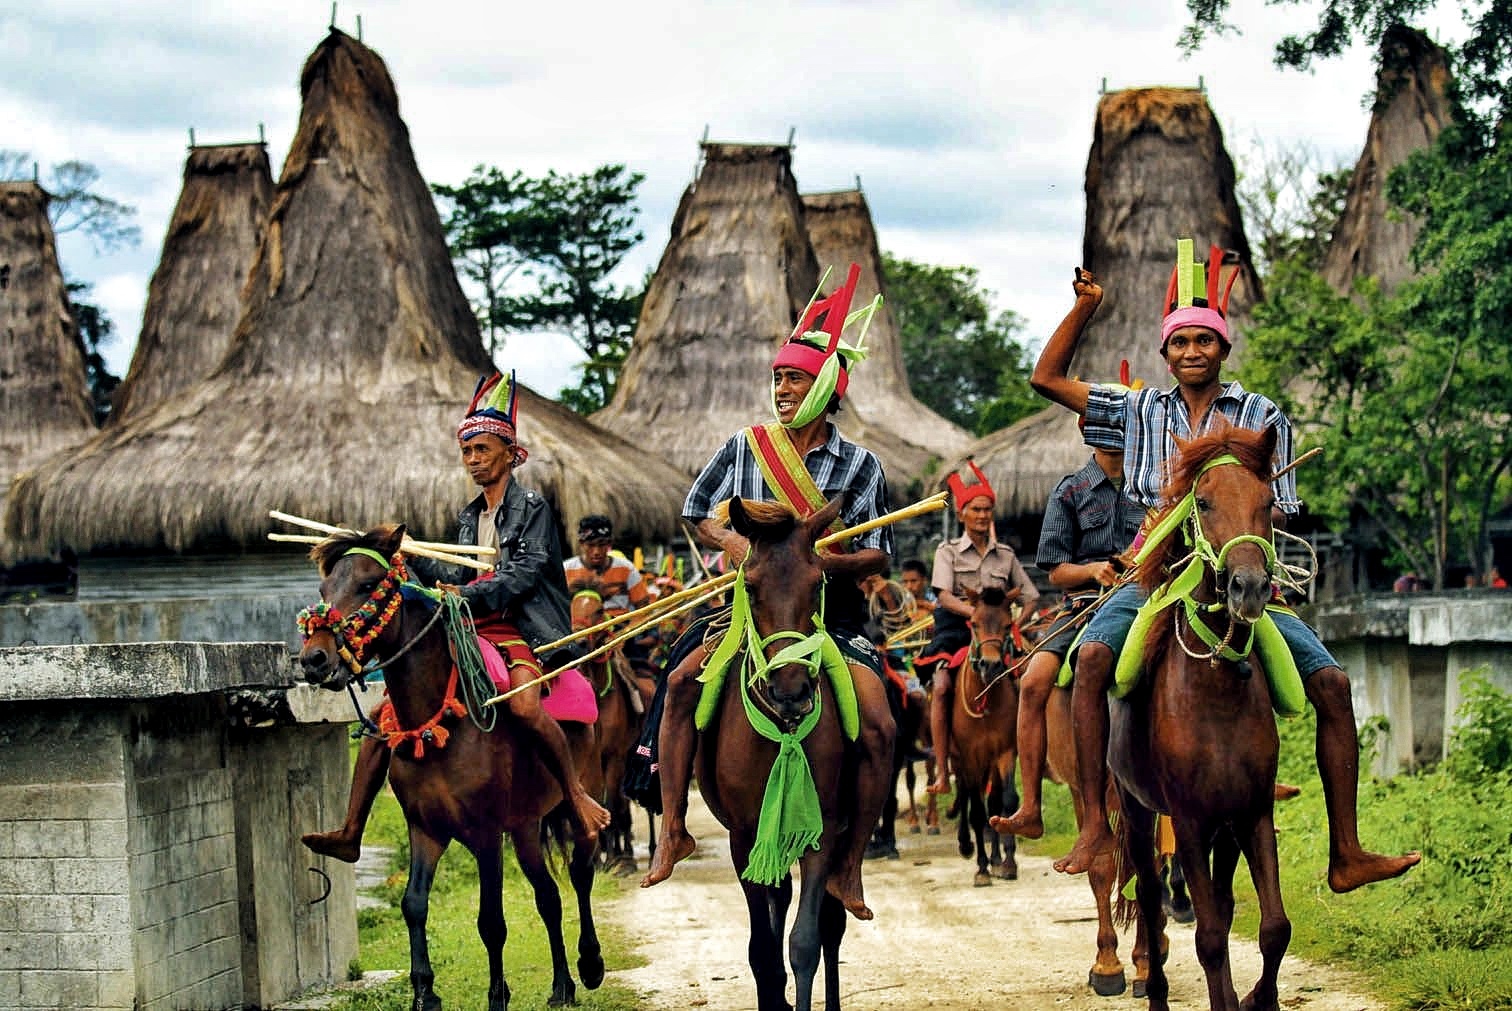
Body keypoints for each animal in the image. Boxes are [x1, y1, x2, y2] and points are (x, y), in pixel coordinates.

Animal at [297, 525, 604, 1003]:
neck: (442, 724)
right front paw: (425, 992)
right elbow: (413, 905)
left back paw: (589, 964)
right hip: (524, 825)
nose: (315, 659)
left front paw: (497, 997)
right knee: (548, 896)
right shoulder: (426, 829)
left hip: (575, 798)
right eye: (323, 590)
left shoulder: (485, 833)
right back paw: (562, 987)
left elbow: (491, 922)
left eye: (367, 585)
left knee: (580, 871)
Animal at [568, 586, 653, 870]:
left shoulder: (615, 755)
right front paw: (599, 858)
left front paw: (620, 860)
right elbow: (596, 801)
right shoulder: (590, 758)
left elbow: (614, 804)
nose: (579, 642)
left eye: (597, 610)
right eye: (572, 606)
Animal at [692, 495, 870, 1009]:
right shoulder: (744, 835)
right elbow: (762, 950)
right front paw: (774, 997)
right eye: (749, 586)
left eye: (818, 584)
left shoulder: (823, 830)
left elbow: (805, 942)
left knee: (832, 922)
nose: (790, 692)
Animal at [1106, 426, 1294, 1009]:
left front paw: (1258, 999)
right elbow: (1209, 937)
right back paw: (1156, 991)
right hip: (1136, 808)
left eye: (1267, 503)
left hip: (1223, 826)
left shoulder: (1251, 811)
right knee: (1148, 894)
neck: (1217, 693)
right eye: (1204, 503)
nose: (1249, 587)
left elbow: (1273, 928)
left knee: (1223, 902)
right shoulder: (1187, 819)